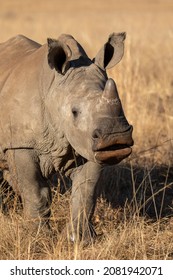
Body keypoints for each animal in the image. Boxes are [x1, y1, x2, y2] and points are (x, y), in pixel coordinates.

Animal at [0, 32, 133, 243]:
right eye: (74, 112)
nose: (116, 138)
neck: (53, 89)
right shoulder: (21, 145)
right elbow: (35, 191)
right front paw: (39, 238)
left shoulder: (88, 143)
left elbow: (86, 192)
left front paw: (80, 239)